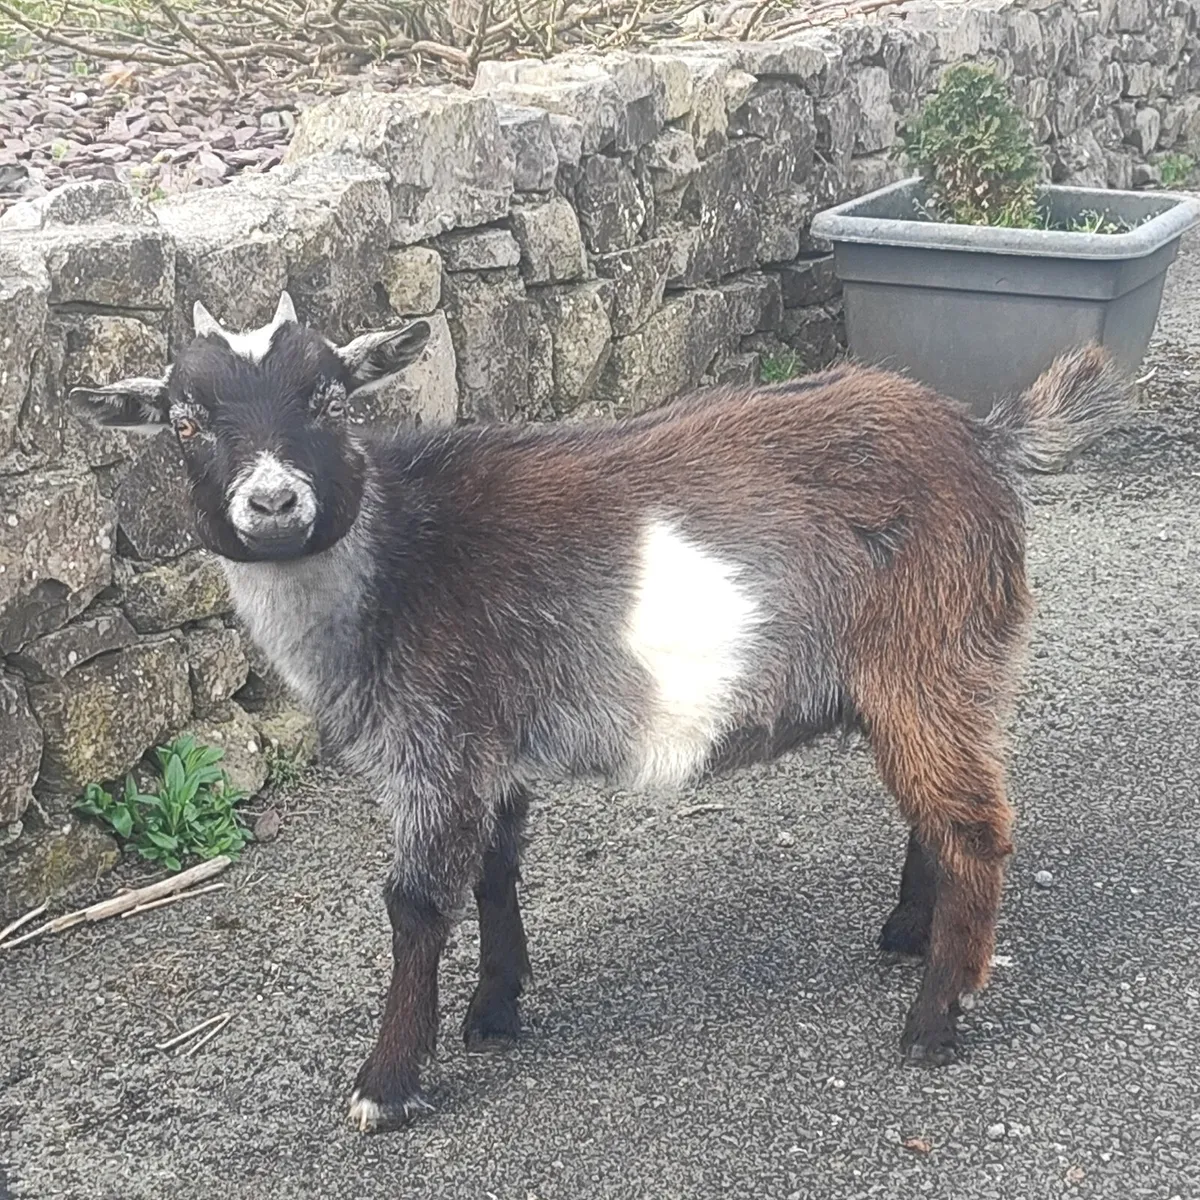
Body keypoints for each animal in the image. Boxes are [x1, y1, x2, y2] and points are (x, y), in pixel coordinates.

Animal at [69, 291, 1133, 1133]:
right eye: (181, 423)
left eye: (330, 398)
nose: (274, 503)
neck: (397, 558)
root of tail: (982, 435)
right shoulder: (489, 743)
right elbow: (496, 870)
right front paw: (496, 1011)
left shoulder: (439, 743)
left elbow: (416, 902)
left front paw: (387, 1084)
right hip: (916, 676)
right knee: (935, 810)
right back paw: (909, 935)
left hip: (934, 649)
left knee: (975, 827)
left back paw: (933, 1021)